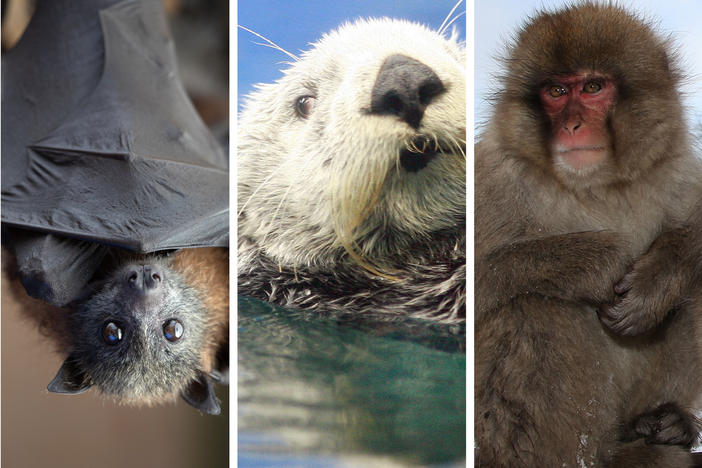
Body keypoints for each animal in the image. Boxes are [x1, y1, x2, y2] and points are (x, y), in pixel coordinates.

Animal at [476, 1, 702, 466]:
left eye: (594, 86)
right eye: (556, 92)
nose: (574, 125)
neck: (598, 184)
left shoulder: (677, 166)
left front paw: (657, 280)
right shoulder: (495, 176)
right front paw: (598, 264)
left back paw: (664, 422)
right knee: (531, 303)